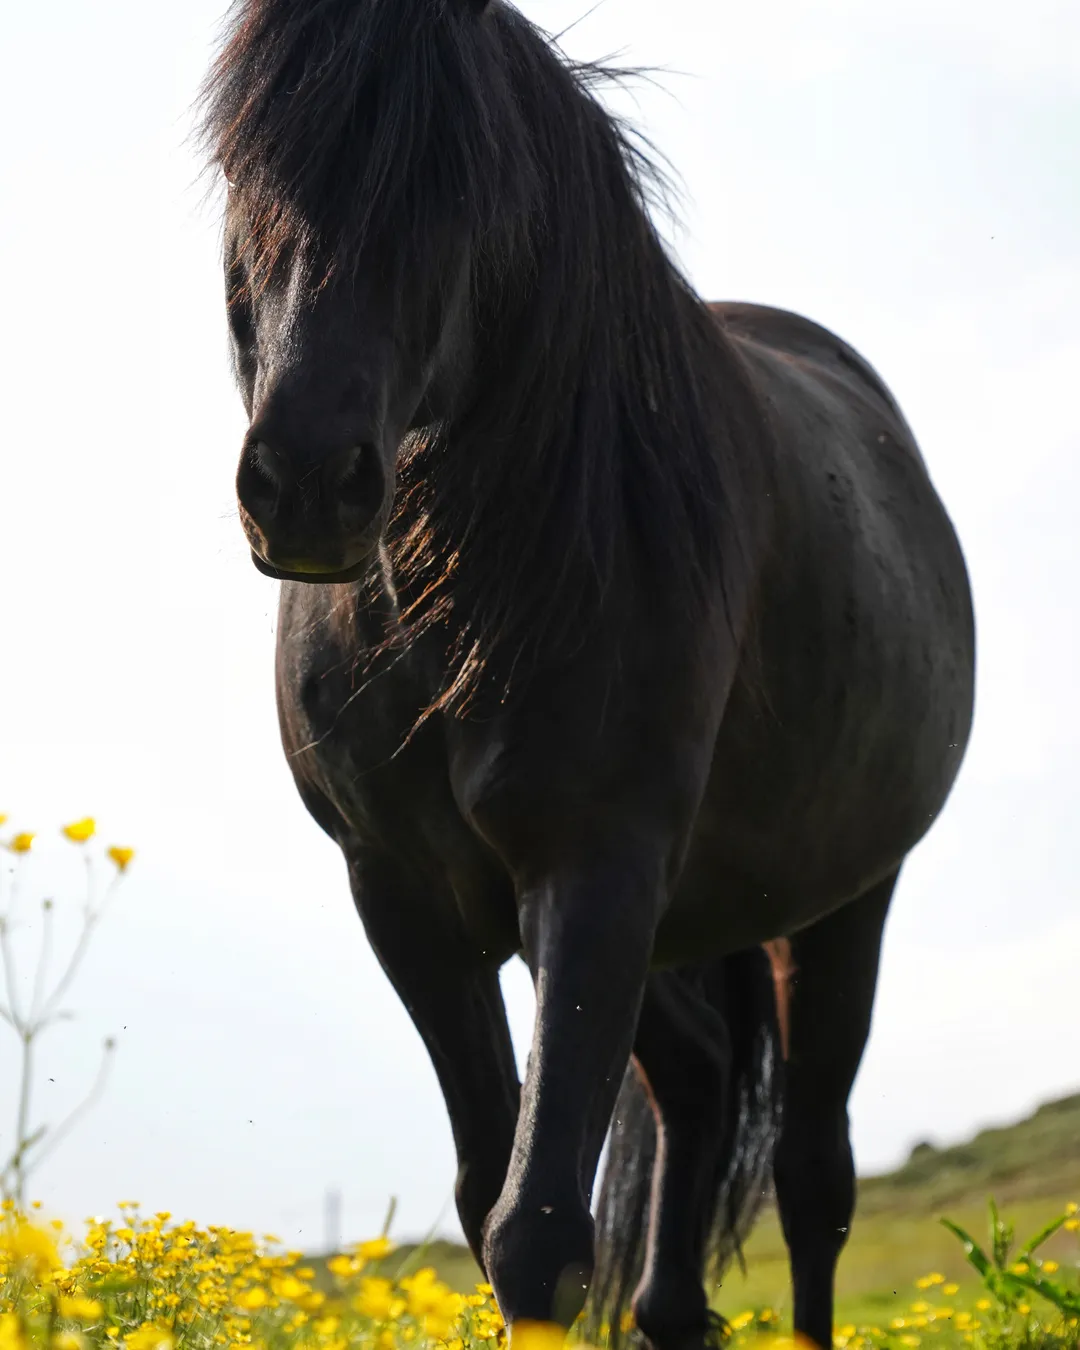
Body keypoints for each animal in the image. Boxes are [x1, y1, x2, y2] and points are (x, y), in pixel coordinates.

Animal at [202, 0, 977, 1344]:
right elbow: (488, 1197)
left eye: (459, 177)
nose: (303, 483)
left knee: (812, 1179)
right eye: (247, 166)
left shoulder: (597, 865)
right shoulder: (405, 897)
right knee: (702, 1089)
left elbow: (540, 1232)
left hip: (841, 905)